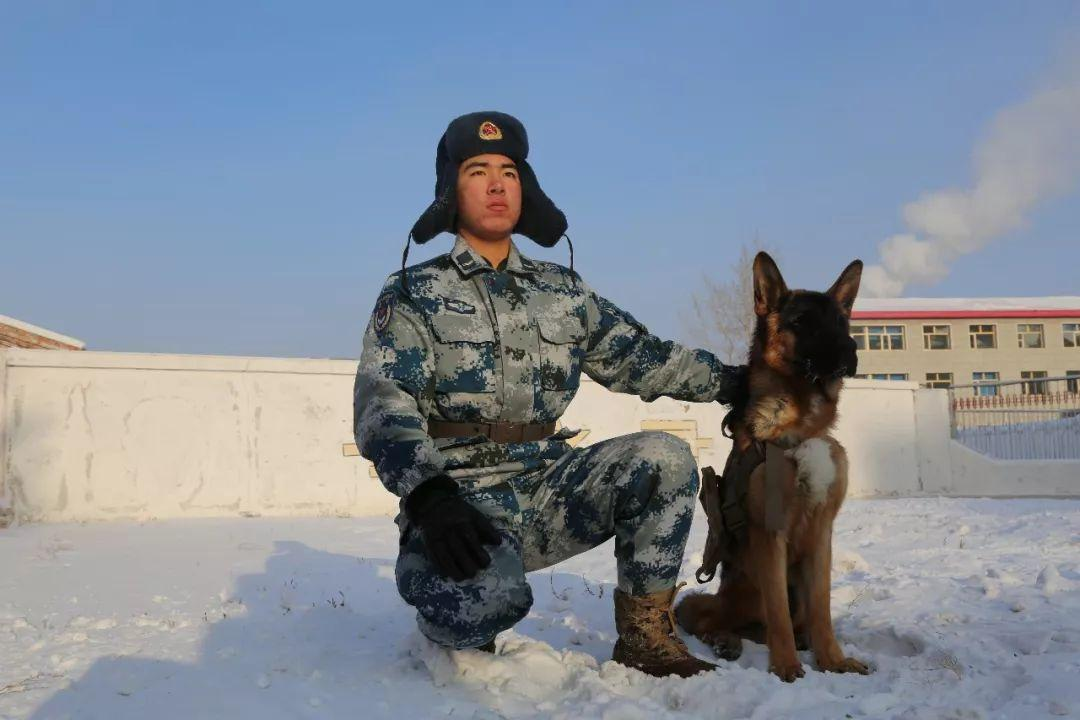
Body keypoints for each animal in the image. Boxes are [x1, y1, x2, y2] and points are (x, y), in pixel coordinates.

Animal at [678, 252, 872, 682]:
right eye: (801, 321)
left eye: (841, 322)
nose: (850, 349)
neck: (802, 427)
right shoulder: (771, 532)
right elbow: (779, 613)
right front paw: (785, 666)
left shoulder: (821, 534)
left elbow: (822, 609)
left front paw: (832, 659)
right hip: (733, 594)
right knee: (703, 616)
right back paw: (727, 641)